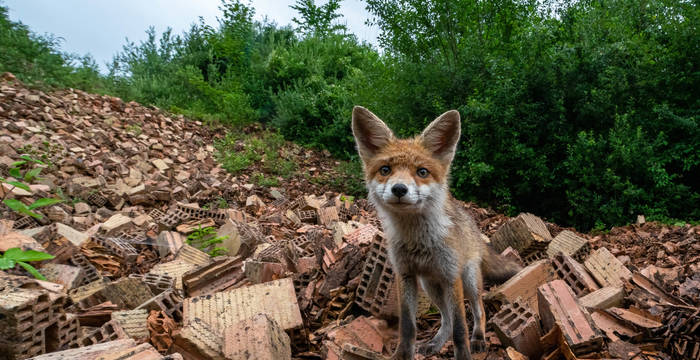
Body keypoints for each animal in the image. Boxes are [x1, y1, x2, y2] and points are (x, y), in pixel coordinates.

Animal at [350, 106, 520, 360]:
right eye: (385, 170)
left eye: (422, 172)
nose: (399, 189)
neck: (418, 241)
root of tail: (474, 226)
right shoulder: (405, 275)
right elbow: (408, 327)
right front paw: (402, 355)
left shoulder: (451, 277)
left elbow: (460, 329)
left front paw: (464, 356)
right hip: (430, 286)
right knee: (445, 319)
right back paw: (436, 343)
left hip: (468, 281)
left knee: (478, 311)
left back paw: (479, 338)